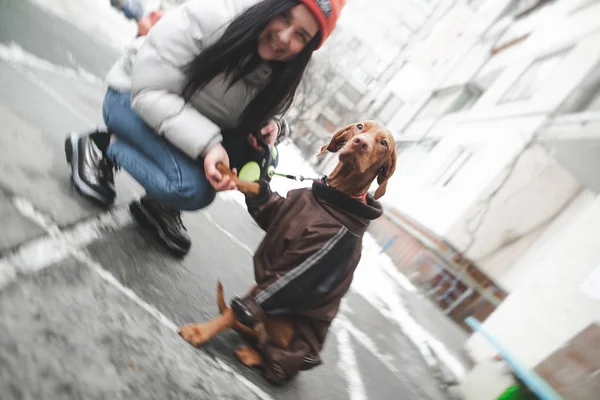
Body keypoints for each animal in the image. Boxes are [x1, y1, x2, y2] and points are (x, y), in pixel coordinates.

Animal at [177, 120, 394, 382]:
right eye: (360, 127)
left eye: (384, 143)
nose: (360, 143)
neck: (334, 198)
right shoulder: (277, 210)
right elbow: (256, 189)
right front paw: (227, 167)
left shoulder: (300, 267)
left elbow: (240, 310)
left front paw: (200, 332)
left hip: (282, 324)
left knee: (266, 349)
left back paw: (254, 355)